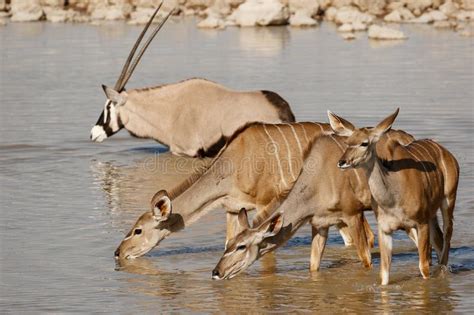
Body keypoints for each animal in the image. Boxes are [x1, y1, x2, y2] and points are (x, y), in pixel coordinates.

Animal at [113, 122, 376, 262]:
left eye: (137, 230)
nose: (117, 253)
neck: (233, 162)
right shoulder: (232, 209)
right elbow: (229, 242)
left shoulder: (265, 206)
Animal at [212, 130, 414, 280]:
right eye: (229, 243)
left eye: (241, 246)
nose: (216, 272)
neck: (318, 179)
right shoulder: (319, 225)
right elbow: (313, 266)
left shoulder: (353, 215)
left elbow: (366, 260)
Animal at [328, 110, 458, 288]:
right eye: (348, 142)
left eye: (364, 143)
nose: (342, 162)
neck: (393, 200)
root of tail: (446, 153)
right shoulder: (385, 230)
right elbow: (384, 273)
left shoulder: (421, 223)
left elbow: (423, 268)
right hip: (431, 214)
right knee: (438, 239)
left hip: (448, 200)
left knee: (447, 234)